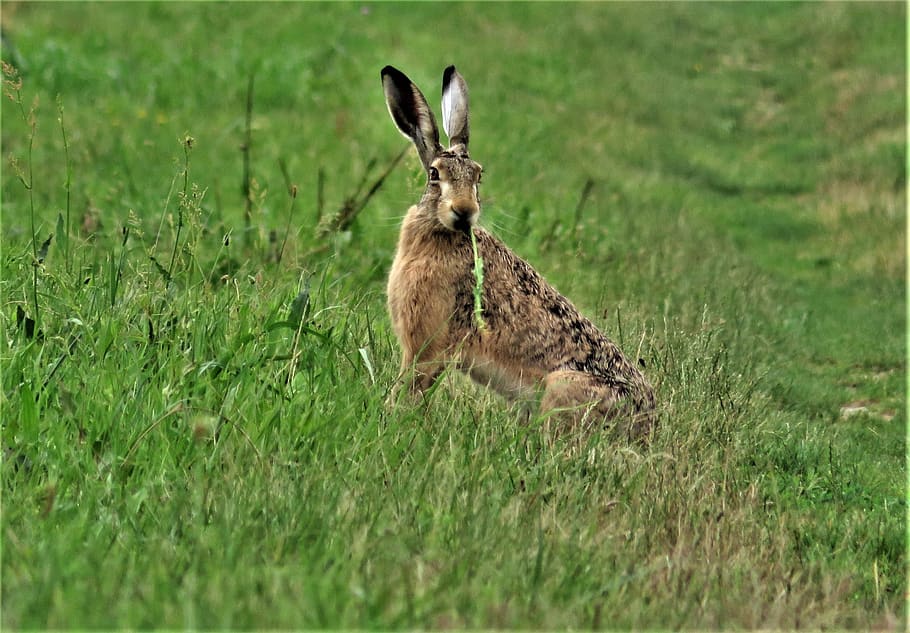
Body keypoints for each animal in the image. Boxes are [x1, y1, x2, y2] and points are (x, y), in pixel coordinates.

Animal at [381, 65, 656, 442]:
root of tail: (648, 425)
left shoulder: (428, 345)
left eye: (478, 176)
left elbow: (408, 389)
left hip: (562, 388)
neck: (442, 233)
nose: (464, 211)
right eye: (435, 174)